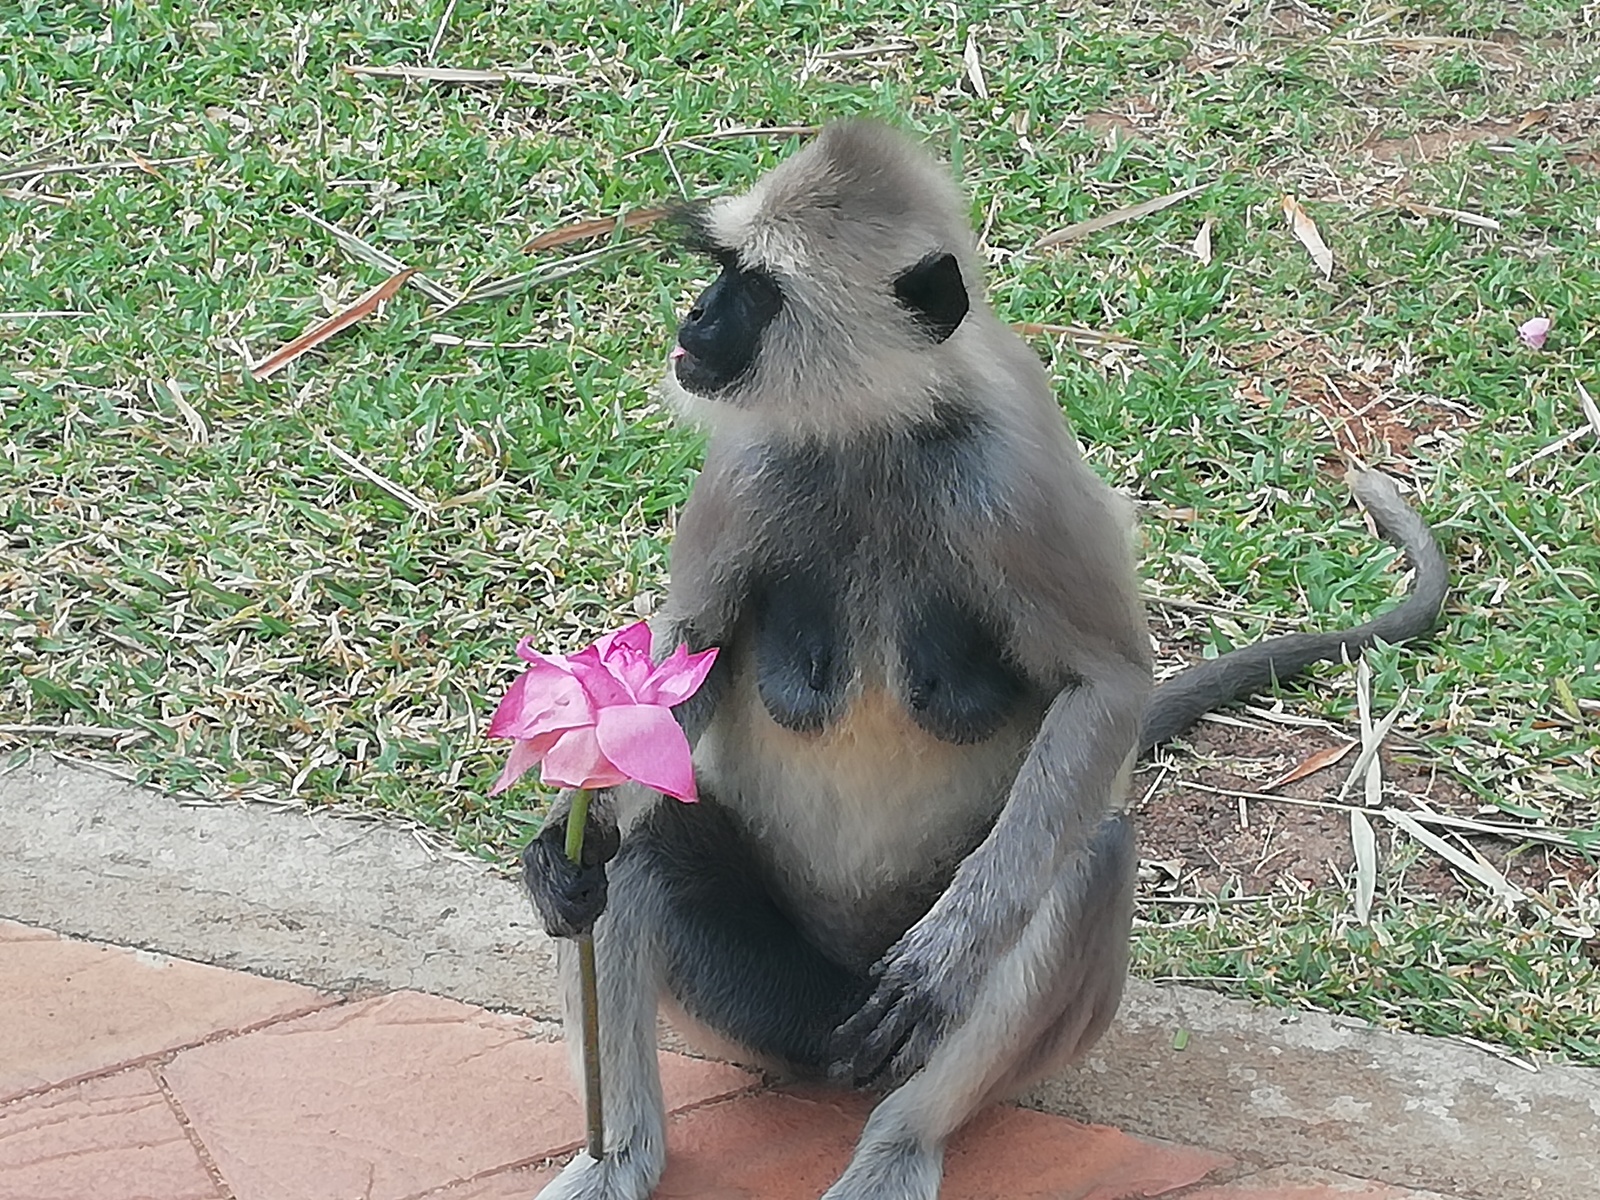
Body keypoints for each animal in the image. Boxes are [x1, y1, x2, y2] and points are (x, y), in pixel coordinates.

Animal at [524, 120, 1452, 1200]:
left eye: (754, 291)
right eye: (722, 274)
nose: (697, 316)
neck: (874, 426)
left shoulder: (1012, 478)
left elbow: (1106, 684)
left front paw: (952, 955)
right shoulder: (750, 468)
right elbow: (686, 664)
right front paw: (561, 845)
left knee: (1082, 860)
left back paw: (896, 1143)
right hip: (767, 1001)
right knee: (635, 852)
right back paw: (623, 1150)